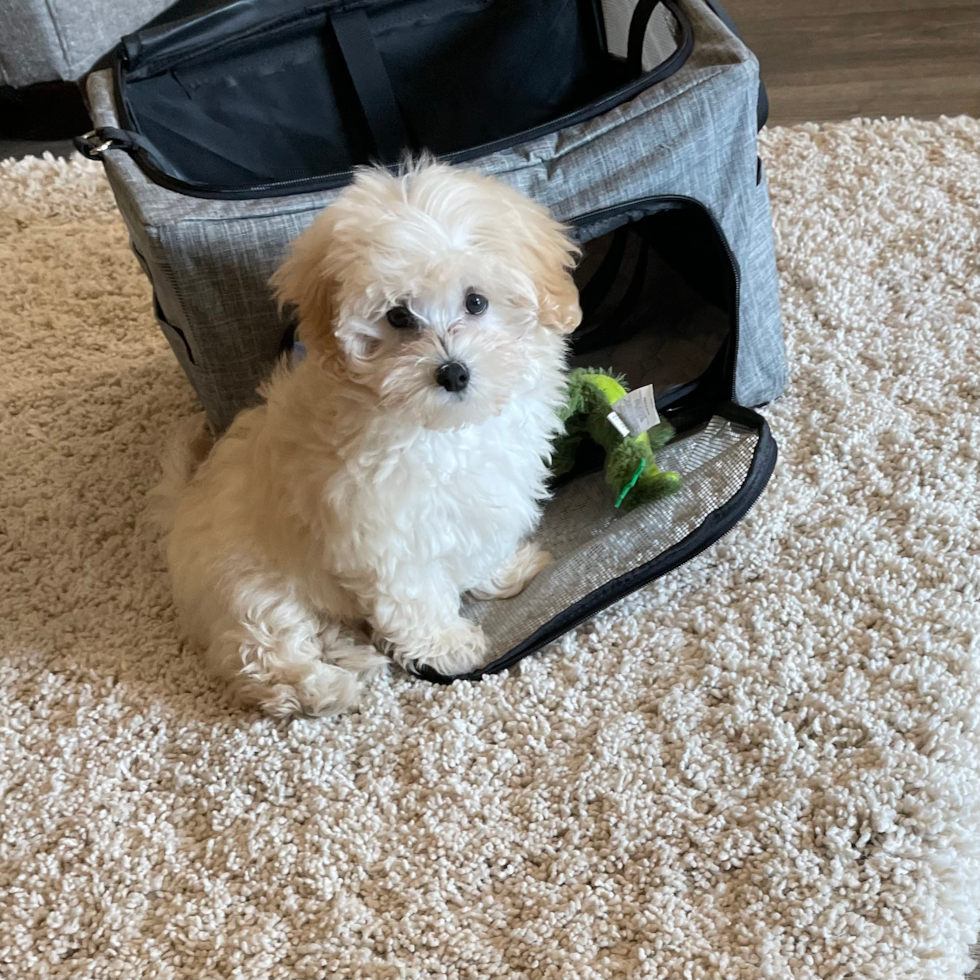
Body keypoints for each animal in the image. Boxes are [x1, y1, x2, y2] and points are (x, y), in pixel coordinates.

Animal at [156, 159, 580, 712]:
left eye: (476, 301)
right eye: (398, 315)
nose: (453, 372)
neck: (443, 430)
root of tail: (178, 516)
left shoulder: (488, 489)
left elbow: (481, 538)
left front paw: (503, 572)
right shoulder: (382, 526)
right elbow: (411, 592)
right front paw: (445, 645)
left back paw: (353, 651)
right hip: (250, 589)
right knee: (264, 656)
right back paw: (328, 688)